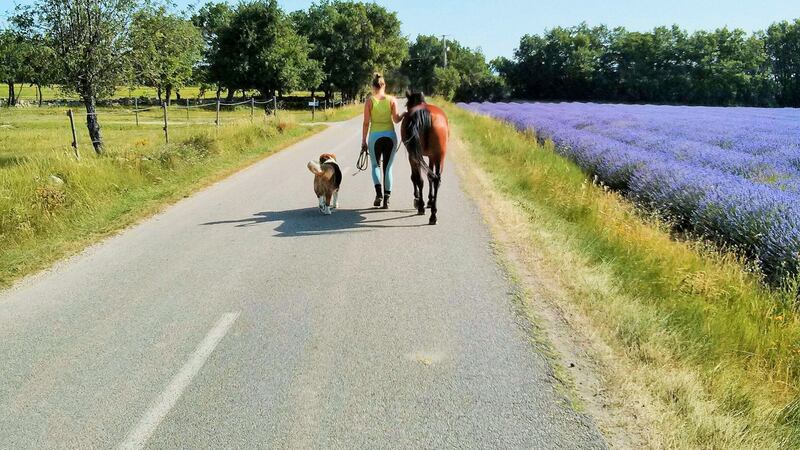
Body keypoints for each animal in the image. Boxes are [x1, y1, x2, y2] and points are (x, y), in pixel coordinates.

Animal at [404, 91, 446, 225]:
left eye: (406, 104)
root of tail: (426, 113)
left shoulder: (413, 156)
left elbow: (415, 177)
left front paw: (418, 198)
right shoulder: (432, 156)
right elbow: (429, 177)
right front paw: (430, 200)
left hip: (415, 157)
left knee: (420, 180)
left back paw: (421, 206)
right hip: (440, 156)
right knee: (436, 179)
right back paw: (433, 215)